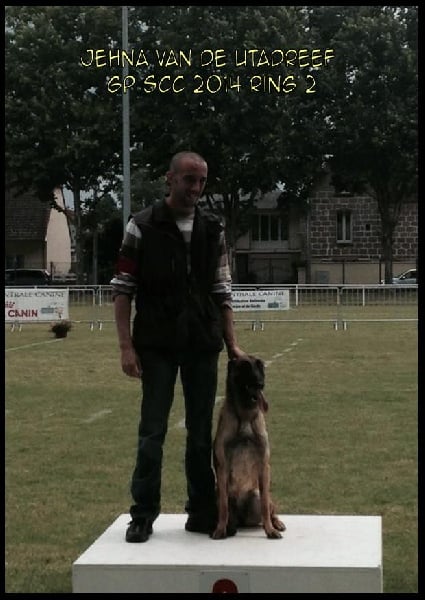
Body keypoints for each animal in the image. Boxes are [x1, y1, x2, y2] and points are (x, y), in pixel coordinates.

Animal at [211, 355, 285, 540]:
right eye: (245, 366)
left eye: (260, 366)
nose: (261, 383)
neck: (244, 415)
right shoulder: (222, 468)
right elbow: (223, 507)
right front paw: (220, 529)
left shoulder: (264, 466)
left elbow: (265, 505)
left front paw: (270, 530)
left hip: (256, 495)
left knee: (270, 507)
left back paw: (276, 523)